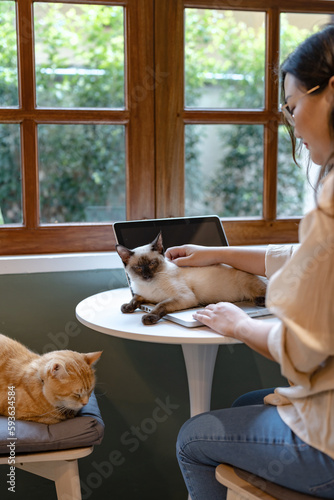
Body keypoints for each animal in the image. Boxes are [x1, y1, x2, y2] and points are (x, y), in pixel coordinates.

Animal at [116, 233, 268, 326]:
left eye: (152, 264)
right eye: (138, 268)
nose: (147, 276)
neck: (149, 285)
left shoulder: (184, 297)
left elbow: (161, 305)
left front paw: (148, 317)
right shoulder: (146, 296)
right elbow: (136, 299)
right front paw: (127, 307)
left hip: (248, 284)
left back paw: (260, 301)